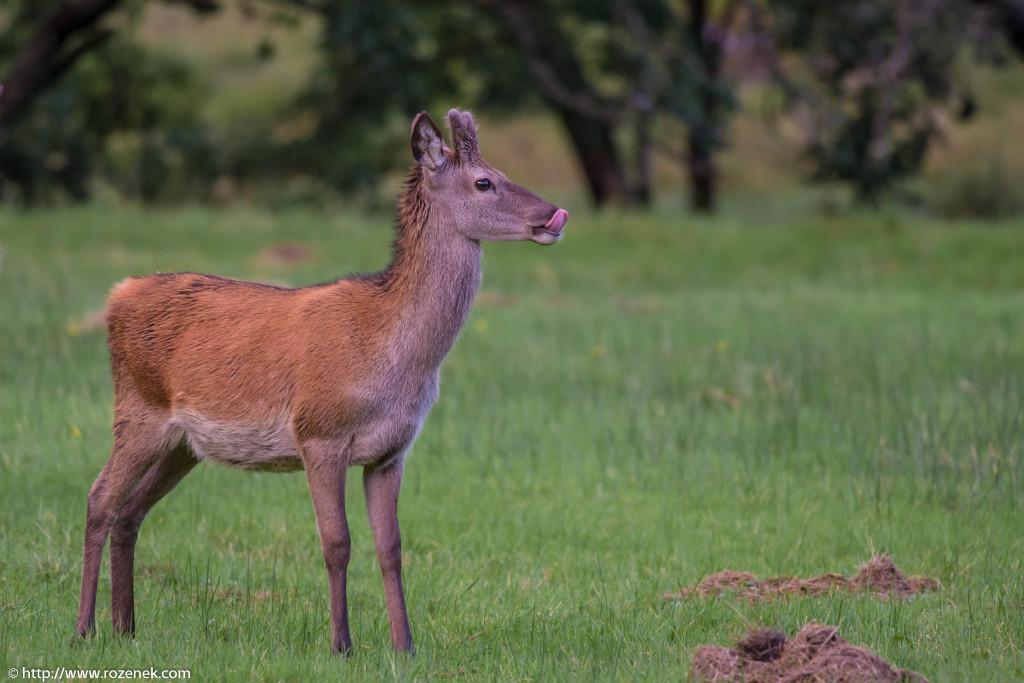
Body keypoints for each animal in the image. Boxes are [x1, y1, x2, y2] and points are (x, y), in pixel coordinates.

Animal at [74, 109, 569, 655]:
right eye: (484, 182)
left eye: (499, 171)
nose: (554, 214)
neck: (393, 357)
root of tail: (118, 295)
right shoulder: (319, 432)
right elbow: (337, 543)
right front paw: (341, 645)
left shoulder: (392, 450)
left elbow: (391, 547)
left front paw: (404, 646)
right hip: (137, 411)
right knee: (99, 500)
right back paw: (85, 628)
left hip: (184, 444)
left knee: (129, 511)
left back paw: (126, 627)